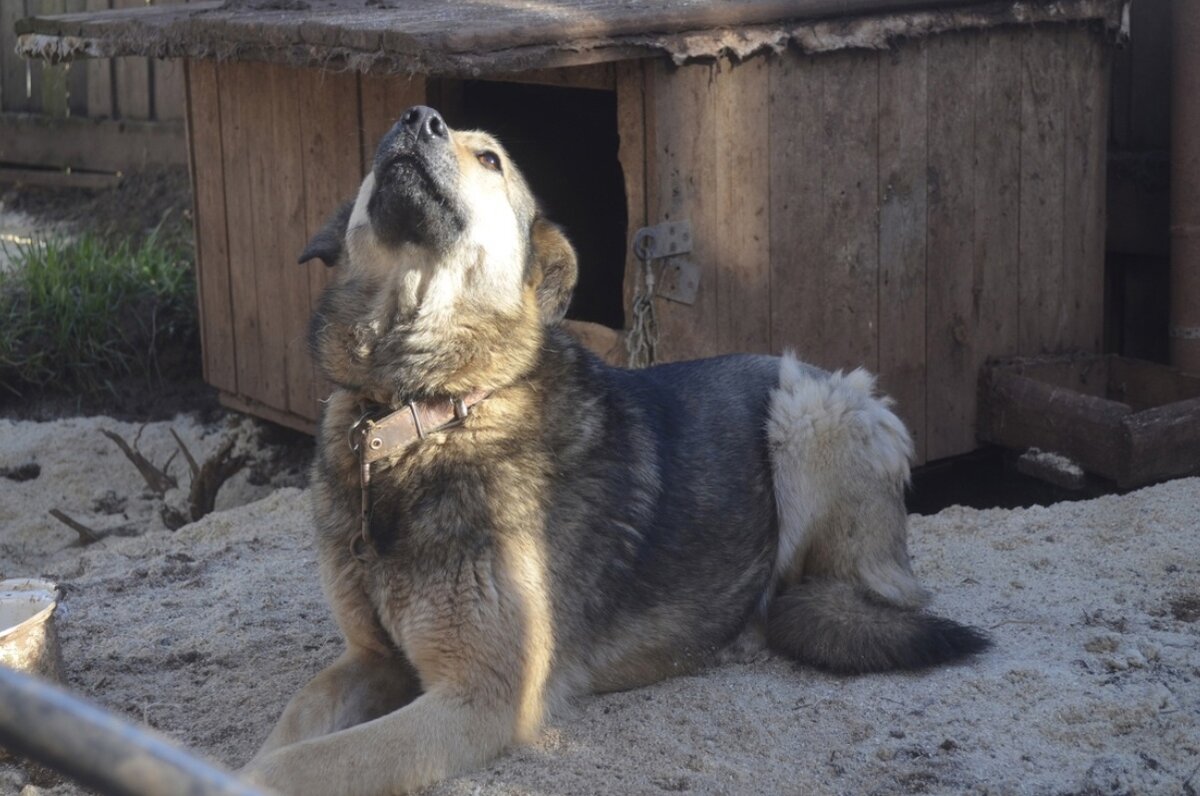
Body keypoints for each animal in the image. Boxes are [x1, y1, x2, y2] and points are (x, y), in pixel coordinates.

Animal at [238, 107, 988, 796]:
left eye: (489, 160)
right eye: (379, 150)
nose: (418, 118)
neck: (421, 409)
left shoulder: (480, 697)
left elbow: (295, 764)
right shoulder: (372, 660)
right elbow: (287, 732)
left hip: (812, 410)